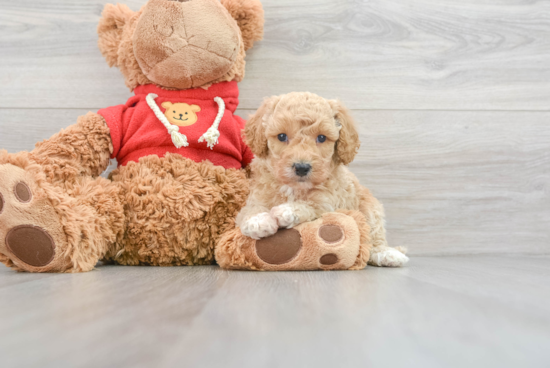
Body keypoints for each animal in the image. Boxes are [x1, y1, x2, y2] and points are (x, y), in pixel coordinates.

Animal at [234, 90, 410, 266]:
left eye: (322, 138)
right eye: (282, 136)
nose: (302, 167)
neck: (295, 188)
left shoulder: (330, 202)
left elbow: (313, 205)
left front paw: (287, 210)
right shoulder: (257, 196)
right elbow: (250, 209)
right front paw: (257, 221)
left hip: (370, 208)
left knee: (375, 235)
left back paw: (387, 253)